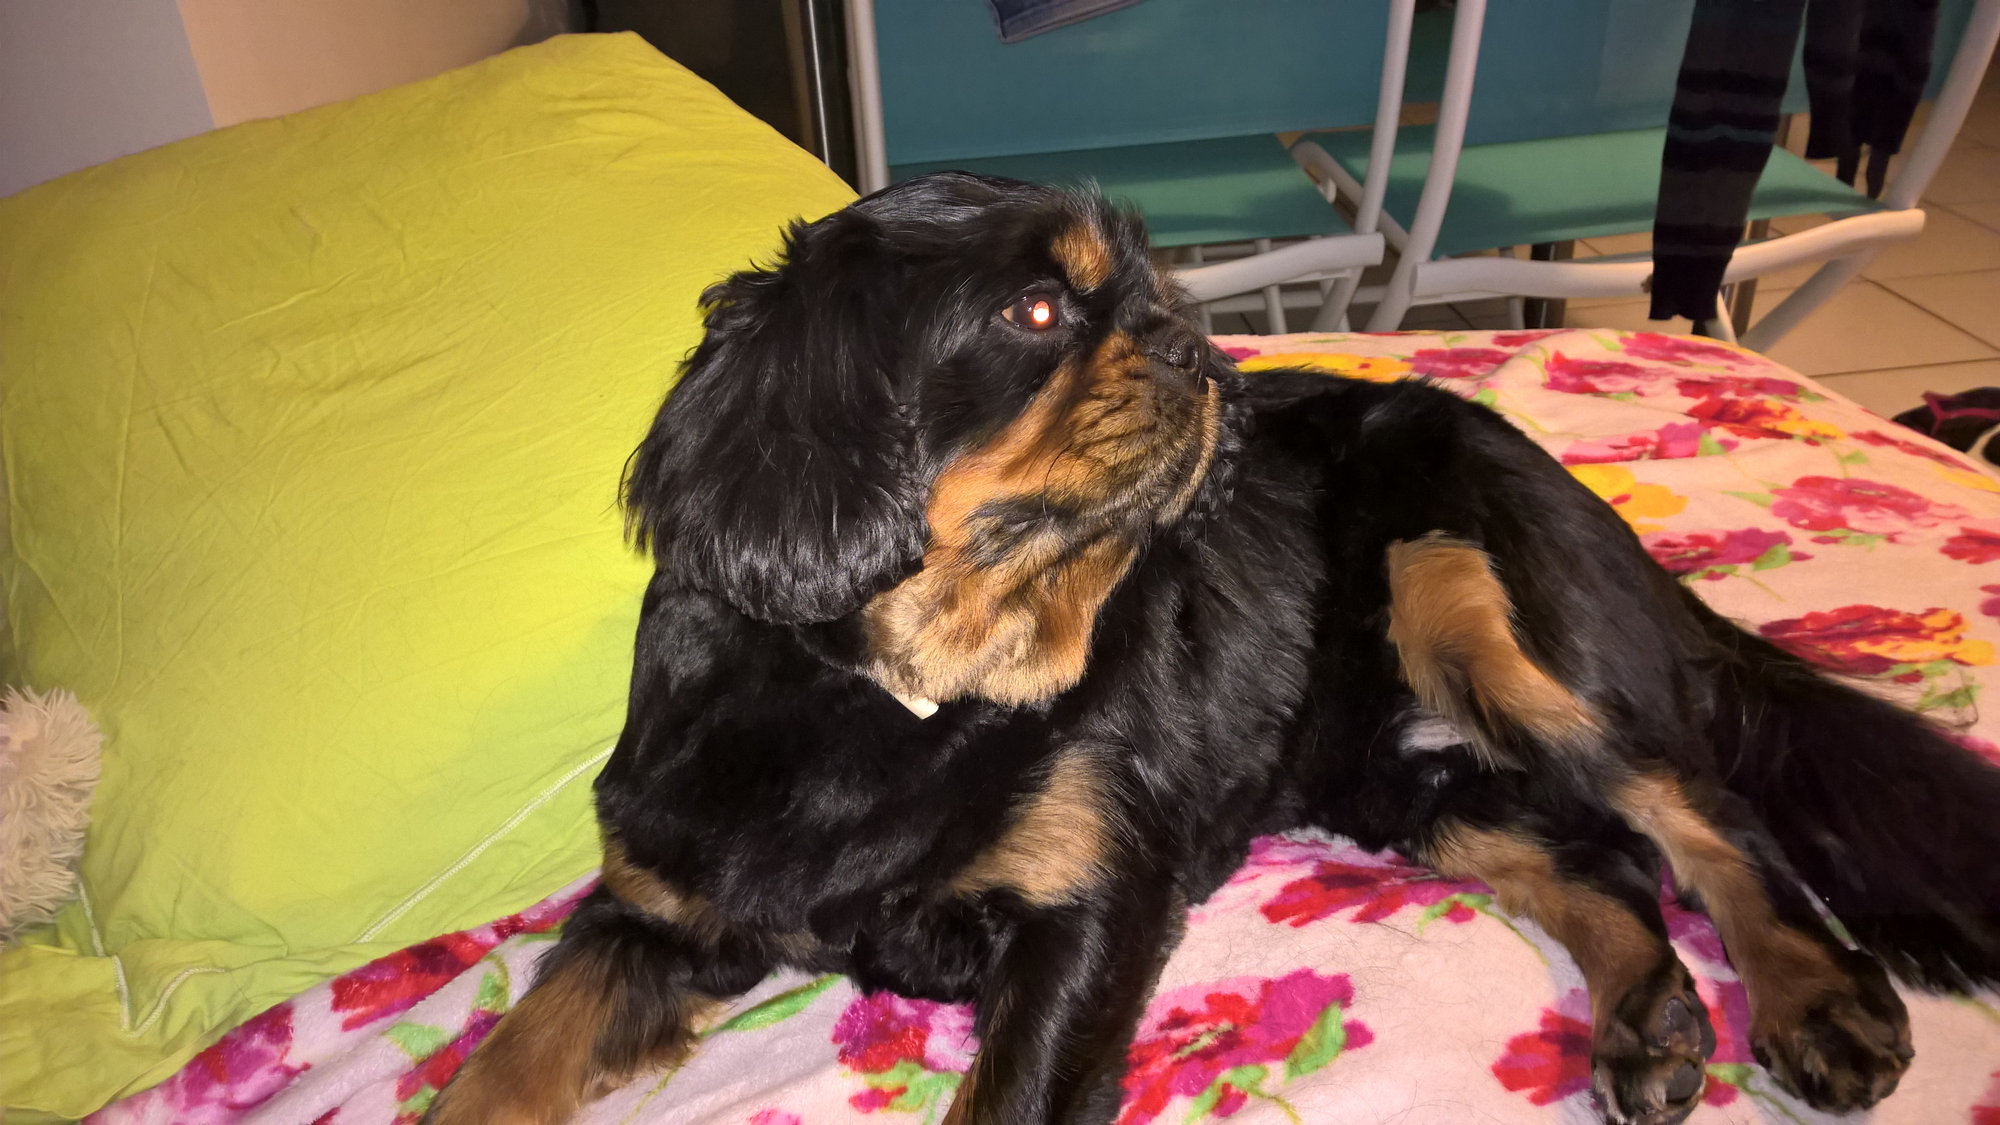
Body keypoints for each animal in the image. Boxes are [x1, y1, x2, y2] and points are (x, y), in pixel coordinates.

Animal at [427, 172, 2000, 1125]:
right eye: (1037, 309)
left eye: (1160, 300)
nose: (1202, 354)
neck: (905, 692)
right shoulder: (652, 910)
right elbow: (502, 1060)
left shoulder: (1085, 918)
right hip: (1396, 777)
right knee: (1597, 860)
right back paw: (1650, 1019)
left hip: (1475, 599)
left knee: (1699, 808)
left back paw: (1810, 997)